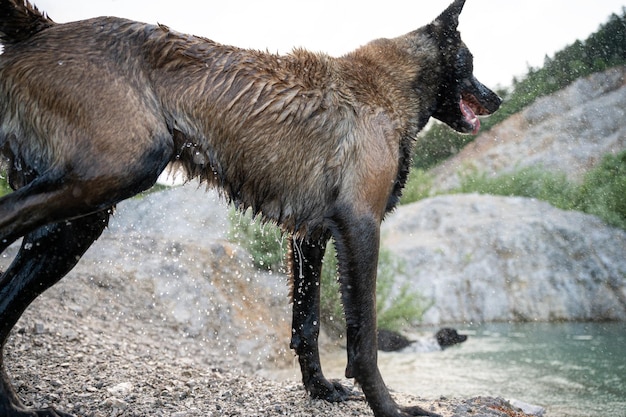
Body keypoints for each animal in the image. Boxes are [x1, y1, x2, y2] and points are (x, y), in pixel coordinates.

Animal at [0, 0, 498, 416]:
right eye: (471, 63)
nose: (496, 98)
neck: (388, 86)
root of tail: (42, 28)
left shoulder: (309, 237)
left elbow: (307, 324)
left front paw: (320, 390)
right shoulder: (360, 226)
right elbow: (363, 341)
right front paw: (392, 410)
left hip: (73, 225)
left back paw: (14, 406)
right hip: (119, 169)